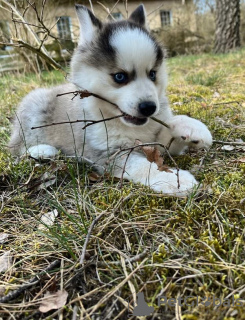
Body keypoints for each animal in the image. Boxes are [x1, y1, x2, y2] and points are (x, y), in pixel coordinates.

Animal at [9, 4, 212, 195]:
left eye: (153, 74)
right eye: (120, 77)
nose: (149, 108)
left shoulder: (156, 141)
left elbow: (170, 127)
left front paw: (192, 128)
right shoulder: (109, 155)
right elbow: (143, 167)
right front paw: (174, 180)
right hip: (35, 103)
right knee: (17, 148)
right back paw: (42, 150)